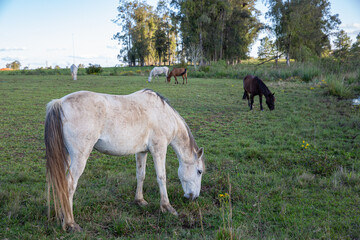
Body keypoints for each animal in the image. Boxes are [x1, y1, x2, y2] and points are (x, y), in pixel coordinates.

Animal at [44, 88, 205, 231]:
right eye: (199, 171)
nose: (194, 197)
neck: (163, 114)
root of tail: (60, 103)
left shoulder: (142, 152)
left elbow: (141, 175)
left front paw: (140, 200)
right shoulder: (159, 149)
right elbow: (161, 177)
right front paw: (167, 207)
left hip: (66, 156)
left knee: (61, 184)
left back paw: (63, 216)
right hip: (79, 157)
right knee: (69, 185)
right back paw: (70, 223)